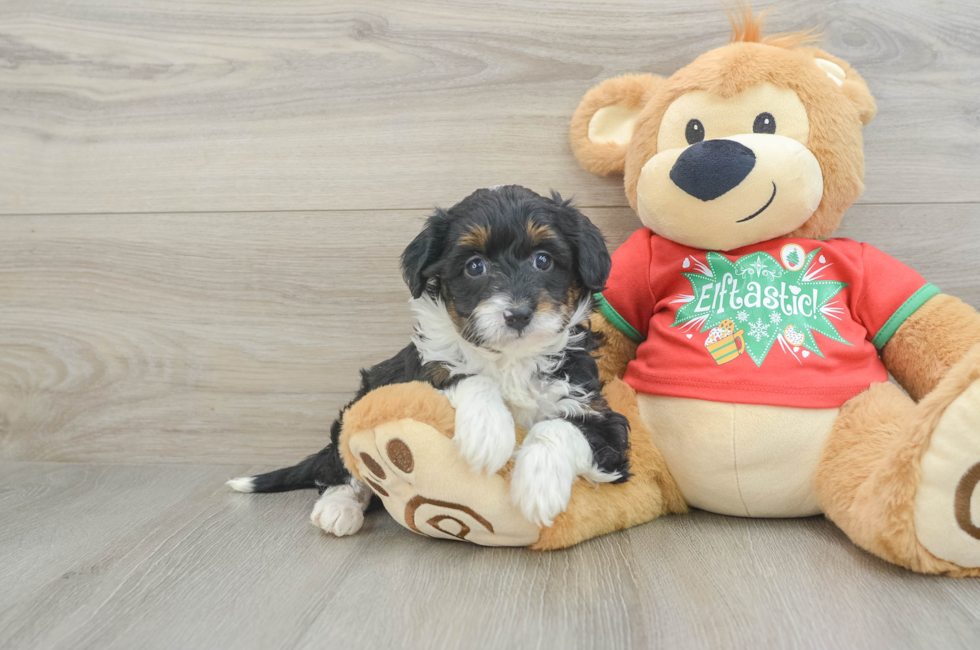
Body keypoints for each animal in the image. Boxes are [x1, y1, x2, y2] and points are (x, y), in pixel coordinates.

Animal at [228, 185, 628, 536]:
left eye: (543, 260)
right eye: (475, 266)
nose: (517, 314)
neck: (510, 359)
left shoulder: (599, 418)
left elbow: (562, 426)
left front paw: (539, 484)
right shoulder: (415, 374)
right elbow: (462, 375)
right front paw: (488, 432)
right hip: (362, 399)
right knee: (337, 464)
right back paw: (339, 507)